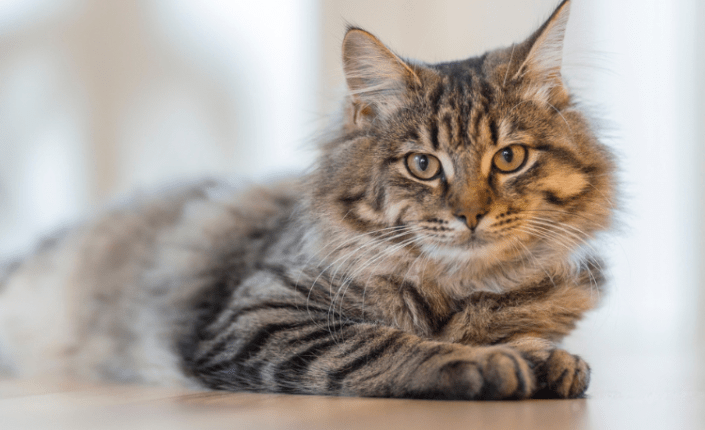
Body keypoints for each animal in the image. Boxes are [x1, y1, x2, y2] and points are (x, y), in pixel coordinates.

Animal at [0, 0, 612, 400]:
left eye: (509, 158)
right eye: (423, 165)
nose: (470, 215)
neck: (458, 289)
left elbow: (529, 335)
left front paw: (547, 358)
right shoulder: (261, 314)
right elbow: (385, 342)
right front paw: (486, 362)